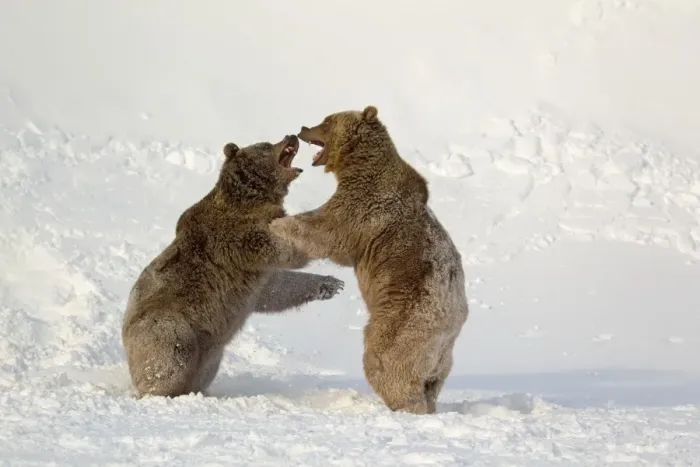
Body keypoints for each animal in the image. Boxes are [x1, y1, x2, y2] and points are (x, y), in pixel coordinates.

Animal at [122, 135, 344, 398]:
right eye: (265, 145)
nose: (291, 136)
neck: (251, 200)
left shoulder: (255, 273)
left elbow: (277, 289)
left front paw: (330, 285)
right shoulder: (239, 240)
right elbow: (285, 248)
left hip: (210, 357)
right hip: (166, 325)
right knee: (173, 355)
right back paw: (163, 391)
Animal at [269, 107, 469, 414]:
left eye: (327, 120)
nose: (303, 127)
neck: (358, 166)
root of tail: (456, 321)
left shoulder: (364, 208)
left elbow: (326, 231)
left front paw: (276, 223)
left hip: (407, 319)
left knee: (385, 361)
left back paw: (405, 406)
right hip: (440, 354)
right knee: (432, 381)